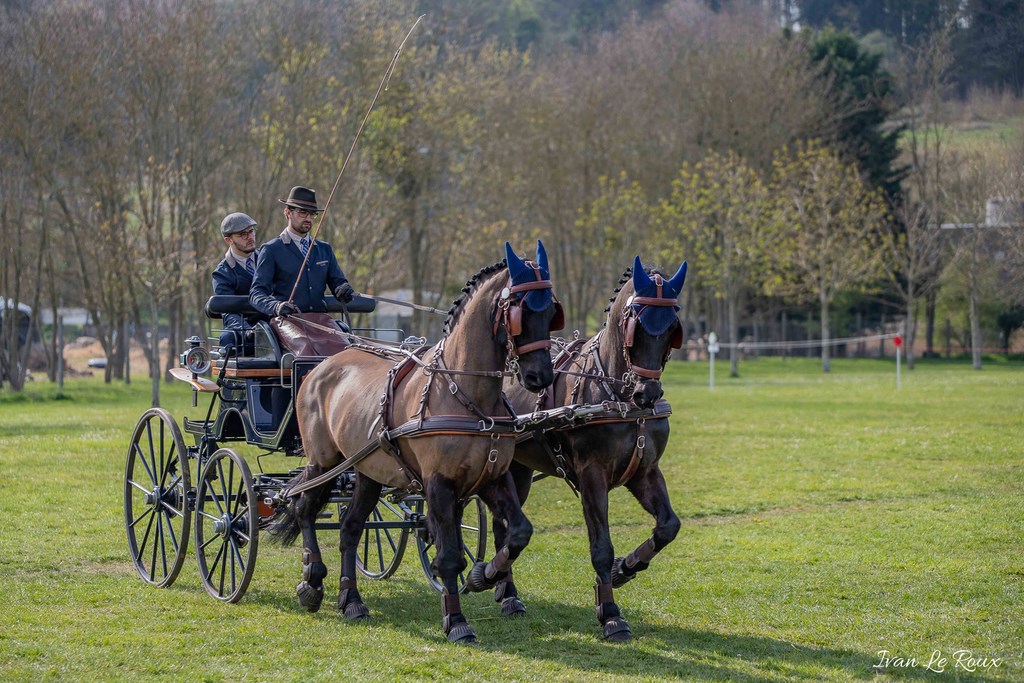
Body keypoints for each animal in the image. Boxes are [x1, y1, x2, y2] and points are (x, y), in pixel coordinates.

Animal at [268, 242, 565, 643]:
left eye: (550, 311)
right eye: (520, 311)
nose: (540, 377)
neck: (463, 391)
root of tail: (321, 366)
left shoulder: (491, 478)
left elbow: (518, 532)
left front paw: (484, 576)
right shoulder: (438, 484)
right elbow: (450, 555)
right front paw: (456, 621)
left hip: (367, 471)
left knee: (350, 528)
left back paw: (351, 600)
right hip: (323, 462)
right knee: (304, 510)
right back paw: (311, 583)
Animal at [489, 254, 688, 643]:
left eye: (673, 326)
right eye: (635, 324)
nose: (647, 393)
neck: (619, 399)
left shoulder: (644, 471)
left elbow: (668, 527)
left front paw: (623, 569)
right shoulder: (591, 476)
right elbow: (601, 547)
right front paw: (610, 614)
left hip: (519, 468)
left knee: (503, 523)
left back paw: (506, 592)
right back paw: (503, 589)